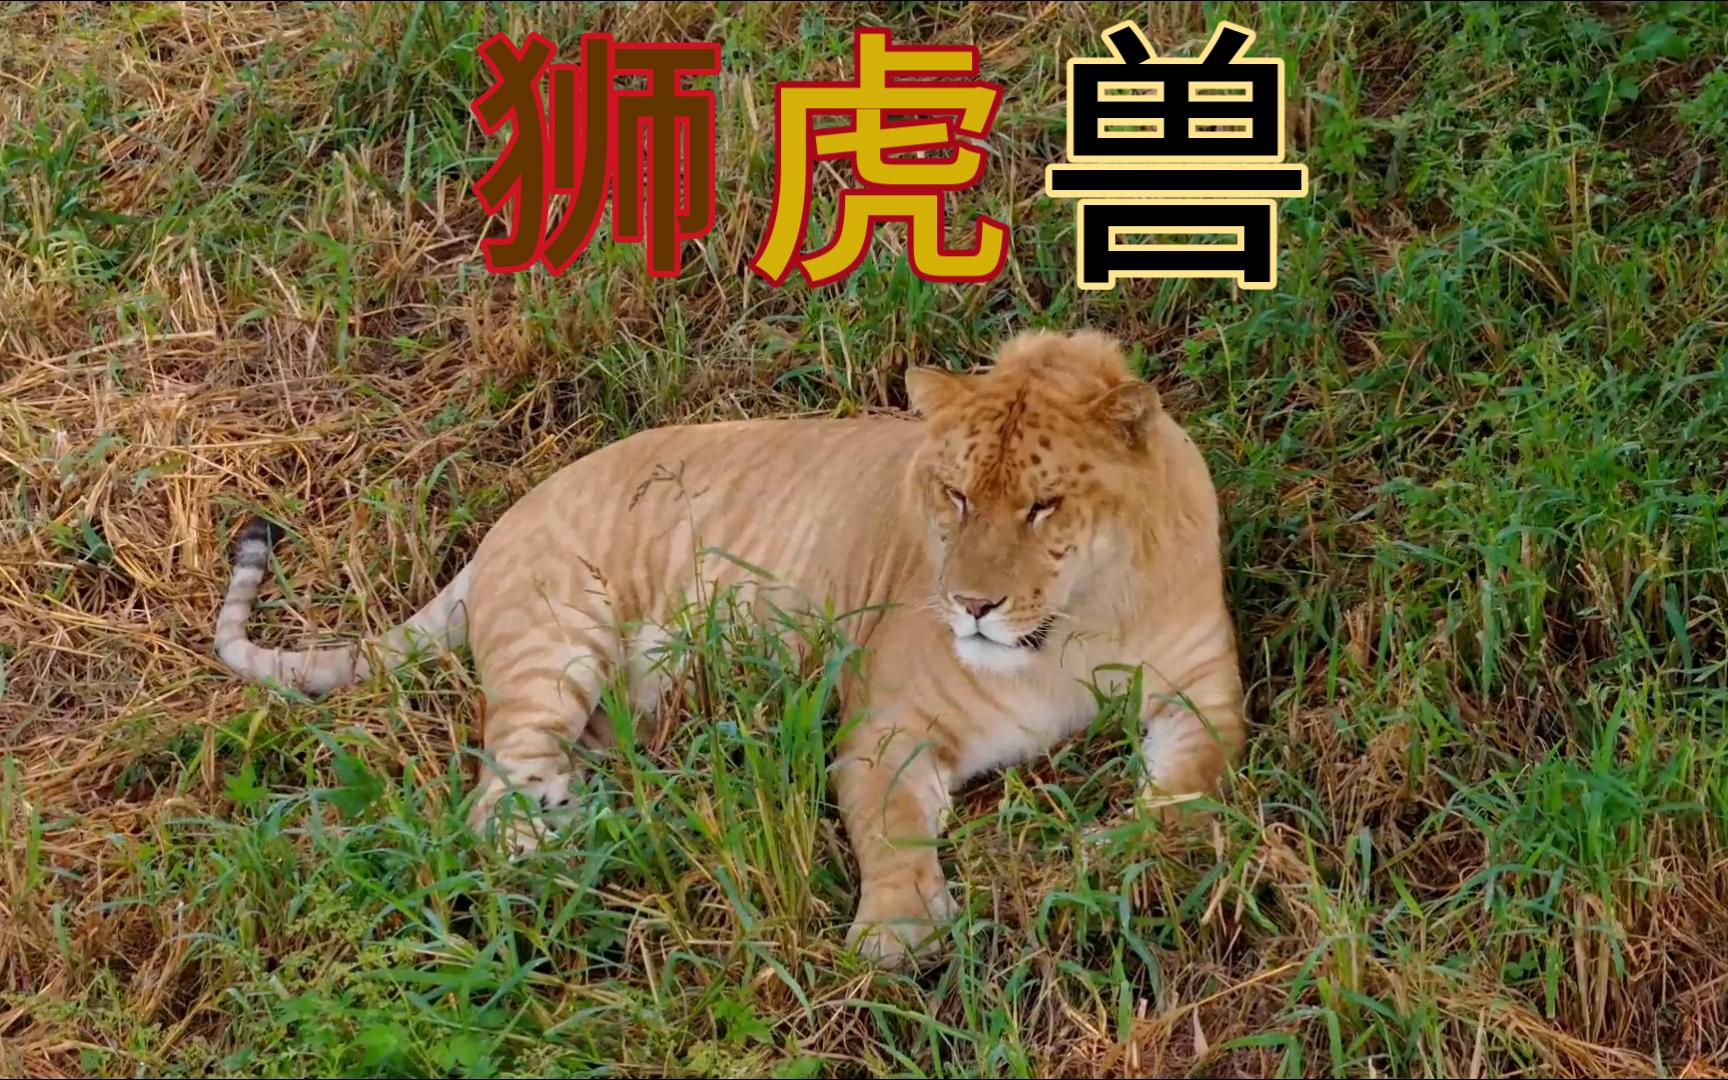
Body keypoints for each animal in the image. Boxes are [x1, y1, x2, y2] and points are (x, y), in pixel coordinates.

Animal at [214, 329, 1247, 966]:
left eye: (1044, 505)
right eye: (954, 494)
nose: (971, 605)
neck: (1071, 627)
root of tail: (500, 526)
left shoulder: (1204, 698)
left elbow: (1196, 790)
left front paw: (1110, 855)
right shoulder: (888, 725)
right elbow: (894, 829)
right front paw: (898, 935)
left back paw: (629, 817)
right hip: (557, 640)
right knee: (493, 808)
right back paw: (598, 849)